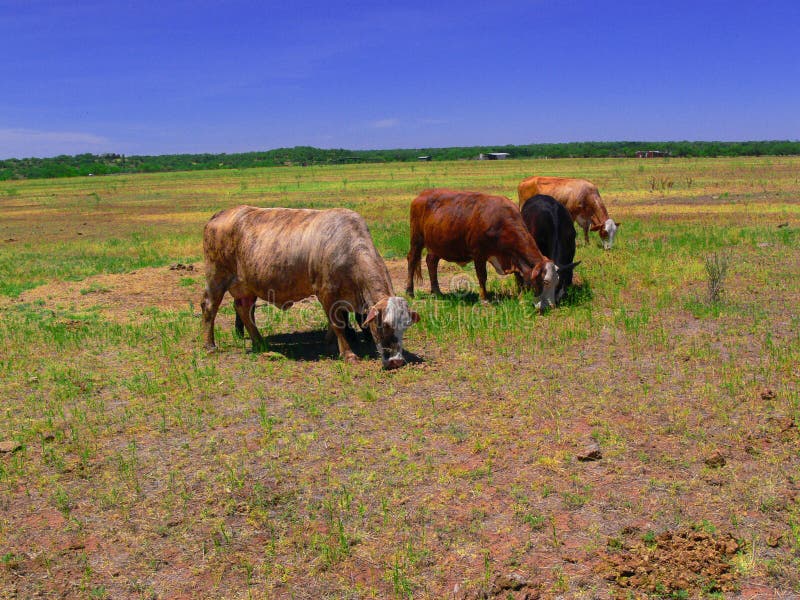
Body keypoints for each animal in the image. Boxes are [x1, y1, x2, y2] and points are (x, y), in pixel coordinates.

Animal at [201, 206, 419, 370]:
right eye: (384, 325)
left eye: (405, 325)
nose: (397, 361)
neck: (346, 247)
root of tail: (220, 214)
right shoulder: (326, 293)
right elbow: (337, 323)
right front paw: (348, 353)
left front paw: (330, 341)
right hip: (217, 277)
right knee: (209, 307)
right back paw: (210, 345)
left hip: (246, 287)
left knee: (244, 310)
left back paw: (260, 342)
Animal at [405, 188, 563, 312]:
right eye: (546, 282)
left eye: (557, 282)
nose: (552, 306)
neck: (500, 222)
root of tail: (422, 195)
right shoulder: (479, 254)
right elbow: (482, 276)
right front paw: (484, 299)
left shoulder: (513, 256)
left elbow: (519, 275)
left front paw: (521, 296)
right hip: (417, 239)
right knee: (412, 260)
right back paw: (410, 291)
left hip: (436, 244)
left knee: (431, 262)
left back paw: (437, 291)